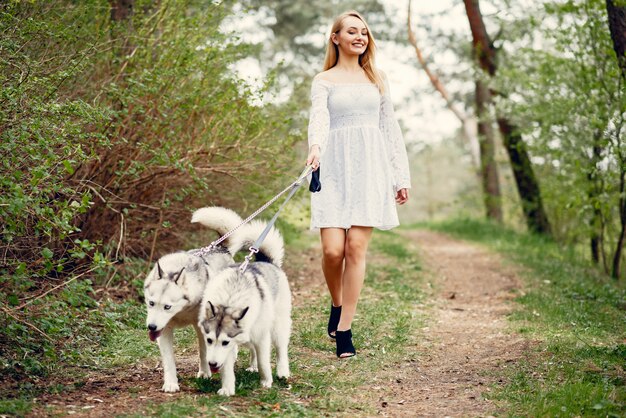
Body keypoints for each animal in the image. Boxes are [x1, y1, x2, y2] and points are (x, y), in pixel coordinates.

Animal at [144, 207, 244, 394]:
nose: (151, 327)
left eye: (167, 307)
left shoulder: (203, 327)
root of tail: (220, 248)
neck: (181, 312)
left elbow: (204, 351)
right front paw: (171, 383)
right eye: (151, 303)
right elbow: (169, 360)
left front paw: (205, 373)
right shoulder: (165, 330)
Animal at [196, 220, 292, 396]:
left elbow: (263, 361)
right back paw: (253, 366)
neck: (229, 300)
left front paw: (266, 381)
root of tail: (267, 261)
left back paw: (282, 371)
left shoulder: (260, 338)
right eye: (209, 340)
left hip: (277, 327)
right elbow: (227, 369)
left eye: (225, 342)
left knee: (281, 349)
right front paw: (227, 388)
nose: (212, 364)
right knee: (252, 349)